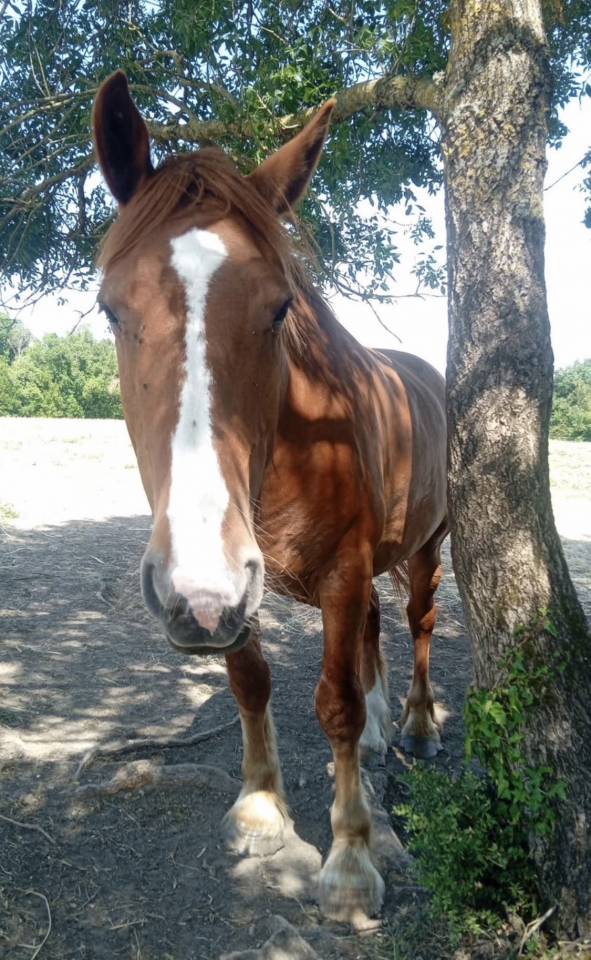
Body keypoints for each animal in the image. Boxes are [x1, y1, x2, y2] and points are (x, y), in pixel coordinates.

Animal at [92, 71, 448, 922]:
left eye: (281, 306)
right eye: (110, 307)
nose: (195, 585)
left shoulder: (335, 572)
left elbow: (335, 703)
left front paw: (349, 863)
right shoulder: (234, 590)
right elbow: (251, 681)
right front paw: (260, 812)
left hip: (427, 545)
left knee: (417, 622)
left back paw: (415, 726)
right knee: (376, 629)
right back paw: (383, 733)